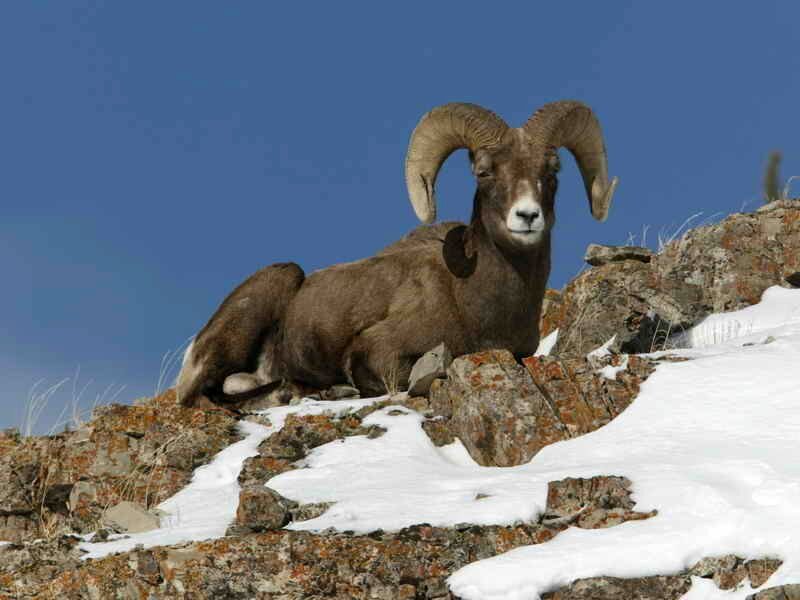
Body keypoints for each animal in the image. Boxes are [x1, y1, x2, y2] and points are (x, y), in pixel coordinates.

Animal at [177, 101, 618, 407]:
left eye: (552, 171)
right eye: (484, 171)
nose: (527, 216)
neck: (473, 300)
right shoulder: (379, 351)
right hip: (279, 279)